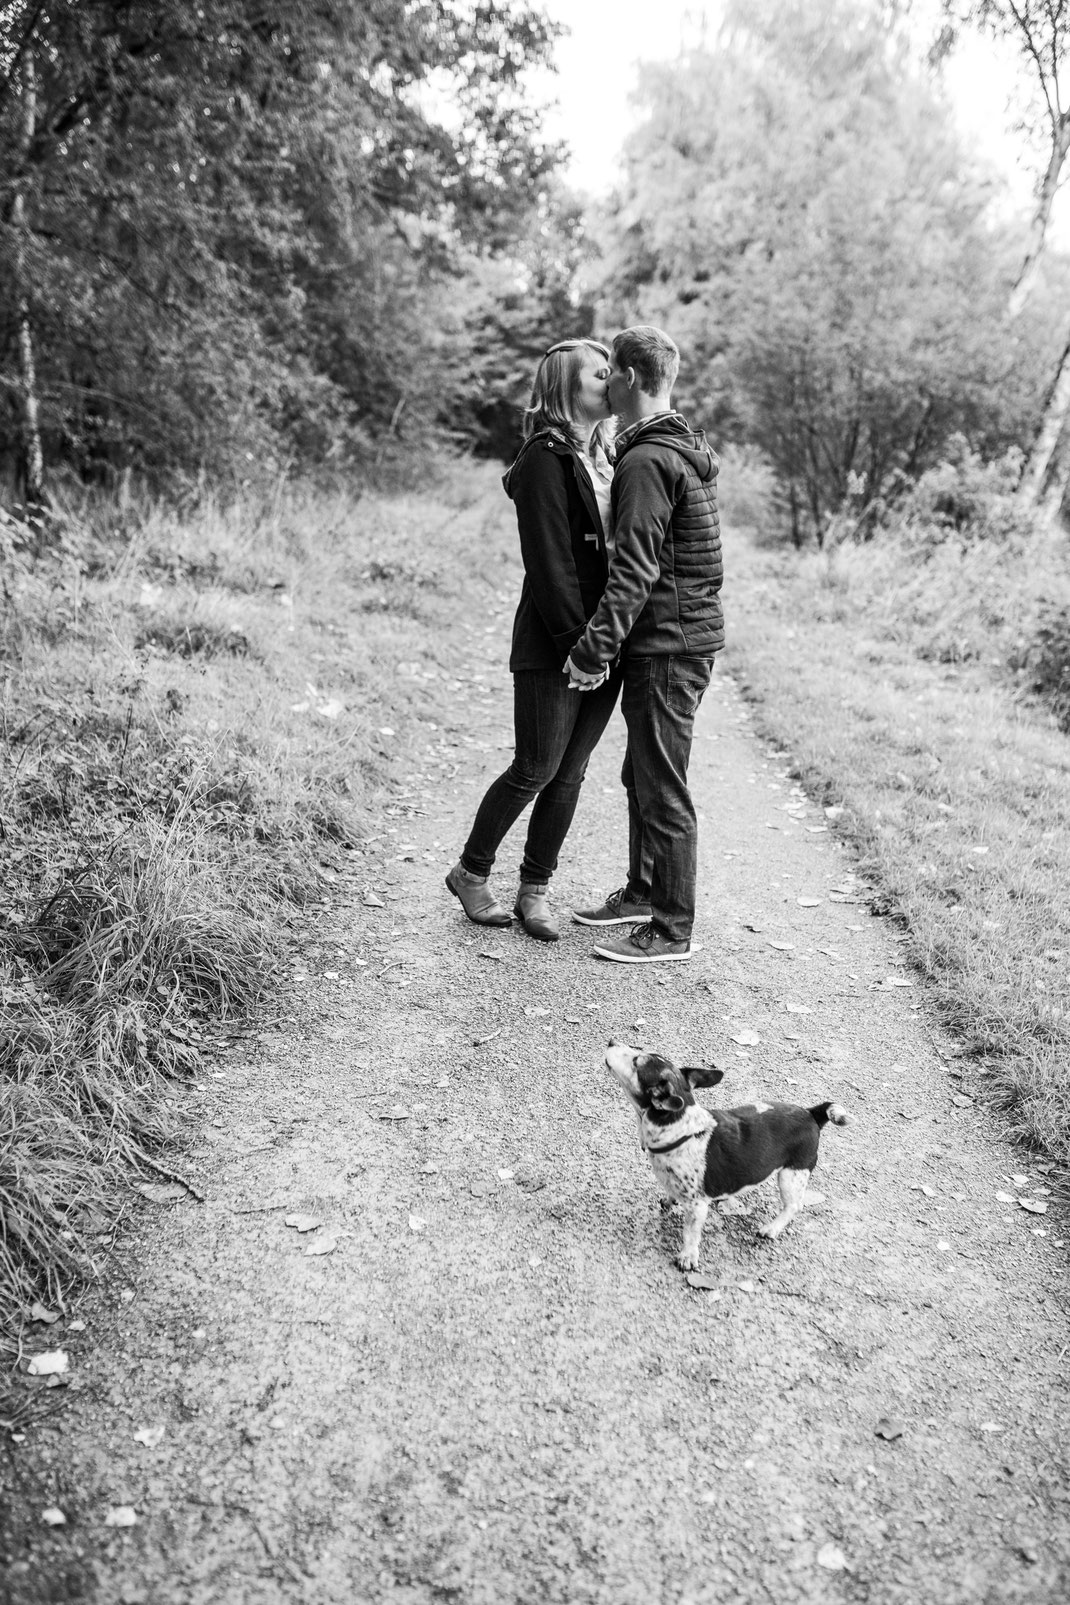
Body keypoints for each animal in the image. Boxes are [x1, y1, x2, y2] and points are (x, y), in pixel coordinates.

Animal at [609, 1046, 847, 1271]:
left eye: (636, 1061)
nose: (611, 1041)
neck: (681, 1130)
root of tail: (812, 1114)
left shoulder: (697, 1206)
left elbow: (690, 1234)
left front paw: (687, 1257)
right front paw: (669, 1201)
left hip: (791, 1176)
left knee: (793, 1206)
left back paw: (771, 1229)